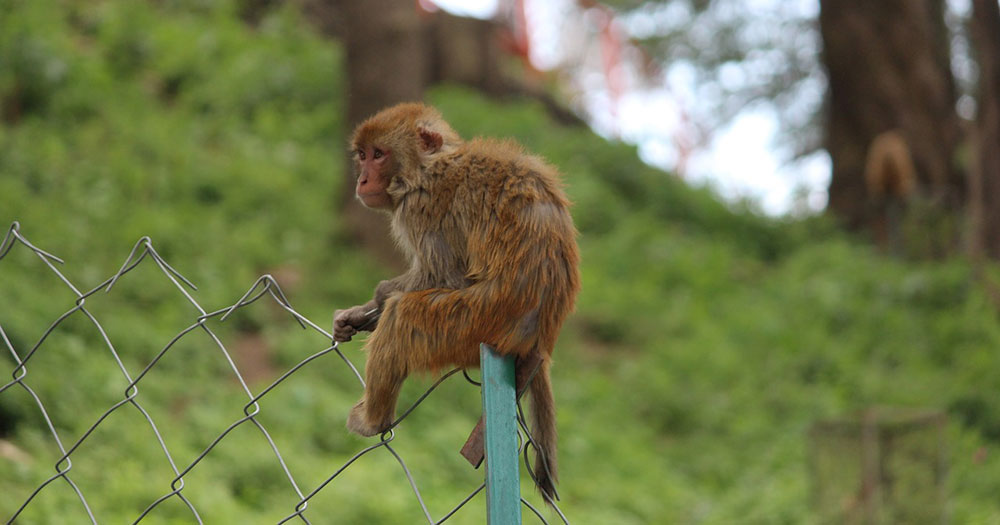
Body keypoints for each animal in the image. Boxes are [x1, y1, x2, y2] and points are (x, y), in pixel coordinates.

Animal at [332, 102, 580, 500]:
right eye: (363, 155)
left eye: (379, 155)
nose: (362, 180)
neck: (428, 168)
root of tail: (541, 339)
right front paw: (358, 315)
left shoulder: (421, 207)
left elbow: (445, 276)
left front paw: (379, 298)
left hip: (474, 323)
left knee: (405, 316)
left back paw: (373, 418)